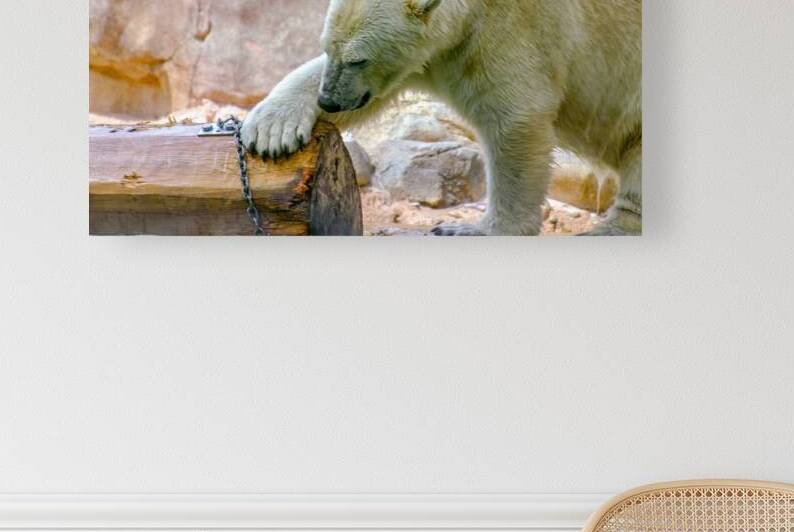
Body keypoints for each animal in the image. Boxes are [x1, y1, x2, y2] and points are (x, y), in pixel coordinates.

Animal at [241, 0, 642, 236]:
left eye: (358, 59)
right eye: (328, 47)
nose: (330, 99)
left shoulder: (515, 32)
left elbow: (516, 119)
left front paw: (476, 229)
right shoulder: (435, 55)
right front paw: (270, 128)